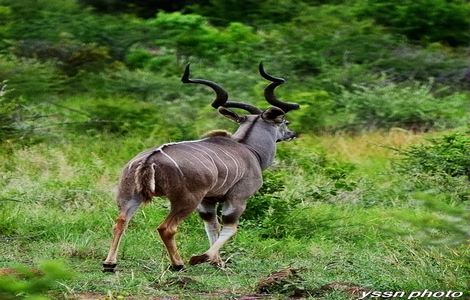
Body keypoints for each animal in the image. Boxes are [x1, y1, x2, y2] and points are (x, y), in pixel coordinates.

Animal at [103, 63, 302, 272]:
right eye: (284, 122)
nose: (292, 133)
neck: (250, 149)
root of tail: (150, 160)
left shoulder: (208, 201)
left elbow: (212, 226)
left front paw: (217, 261)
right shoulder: (237, 197)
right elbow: (230, 228)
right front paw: (204, 258)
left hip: (130, 196)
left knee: (120, 222)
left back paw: (109, 263)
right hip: (186, 200)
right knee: (166, 228)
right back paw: (178, 264)